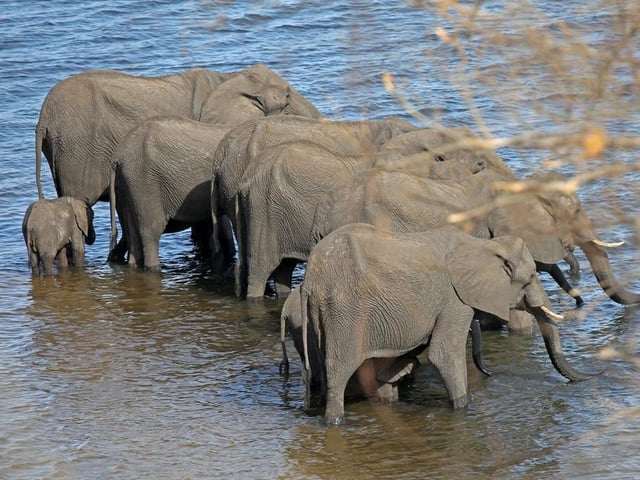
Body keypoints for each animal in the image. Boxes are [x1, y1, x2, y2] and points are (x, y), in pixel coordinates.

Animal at [234, 132, 487, 299]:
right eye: (440, 158)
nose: (482, 162)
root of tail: (246, 178)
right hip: (263, 210)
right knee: (260, 269)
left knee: (283, 269)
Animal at [299, 223, 593, 425]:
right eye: (531, 276)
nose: (595, 376)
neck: (483, 245)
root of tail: (310, 280)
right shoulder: (455, 300)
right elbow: (443, 354)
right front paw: (463, 408)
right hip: (344, 311)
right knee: (338, 371)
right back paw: (335, 421)